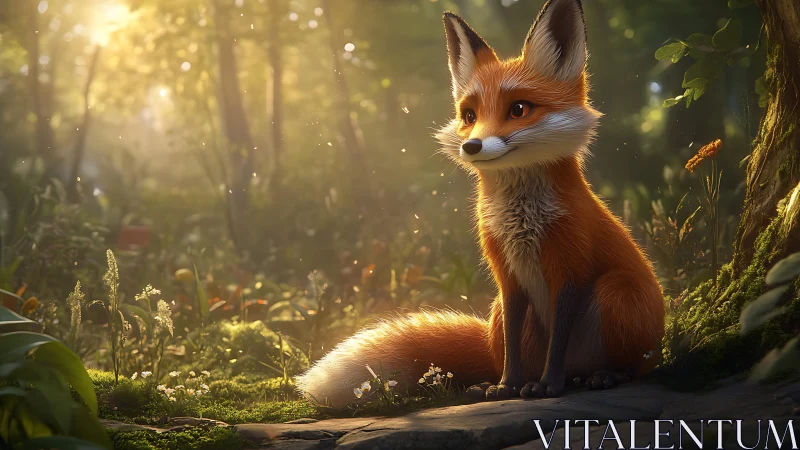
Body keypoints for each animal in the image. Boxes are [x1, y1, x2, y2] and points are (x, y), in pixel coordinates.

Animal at [297, 0, 665, 407]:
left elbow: (559, 342)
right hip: (497, 312)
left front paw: (549, 386)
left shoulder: (569, 266)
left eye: (519, 109)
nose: (471, 145)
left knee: (632, 366)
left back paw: (603, 375)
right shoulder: (506, 276)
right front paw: (507, 386)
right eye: (469, 116)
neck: (522, 223)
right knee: (507, 352)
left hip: (616, 292)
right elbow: (513, 350)